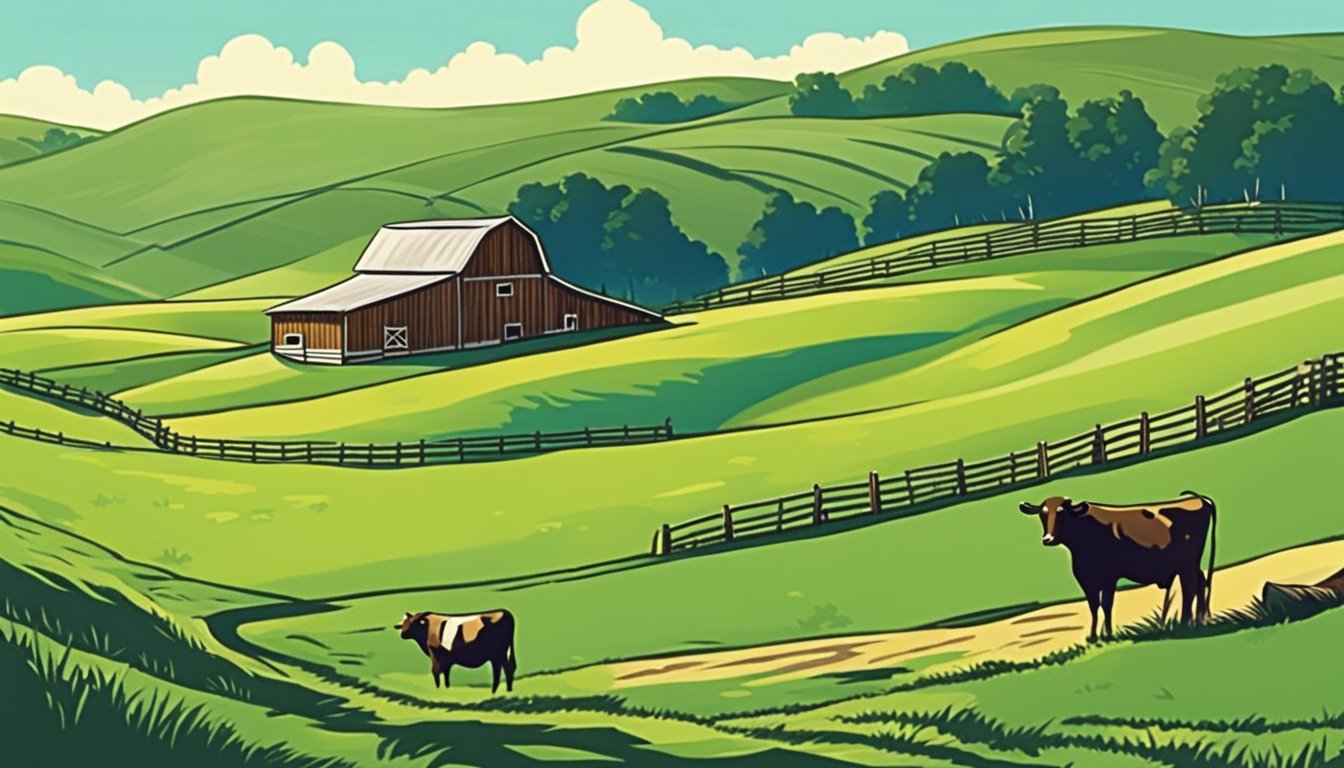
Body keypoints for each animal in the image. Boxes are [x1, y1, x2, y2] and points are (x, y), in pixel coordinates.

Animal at [1016, 489, 1220, 640]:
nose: (1048, 539)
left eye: (1061, 513)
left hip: (1186, 564)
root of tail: (1198, 499)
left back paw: (1186, 624)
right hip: (1190, 564)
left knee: (1190, 587)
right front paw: (1093, 636)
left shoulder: (1109, 577)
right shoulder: (1086, 579)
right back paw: (1200, 620)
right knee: (1201, 582)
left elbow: (1106, 604)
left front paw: (1107, 635)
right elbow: (1093, 606)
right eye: (1042, 514)